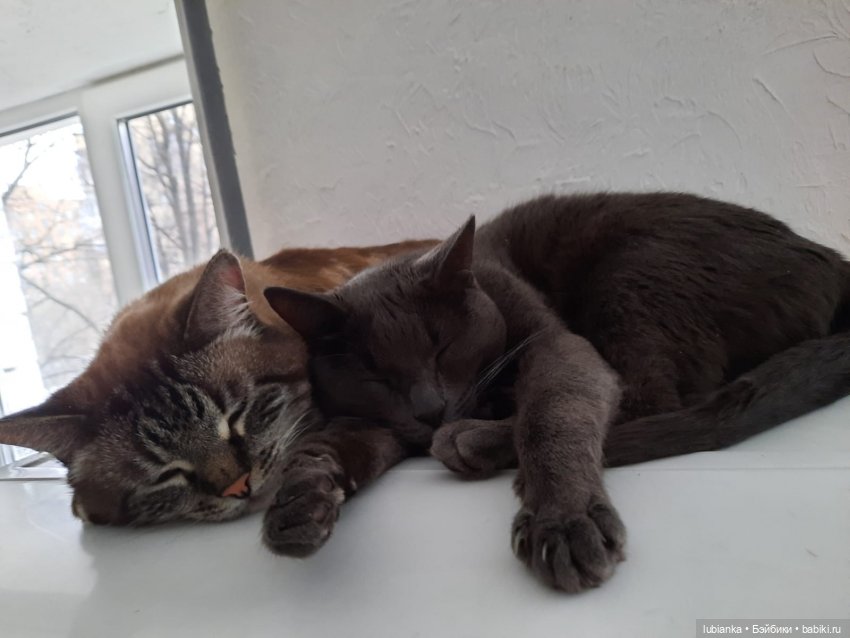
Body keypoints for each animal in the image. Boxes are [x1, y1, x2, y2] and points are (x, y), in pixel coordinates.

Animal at [264, 192, 850, 592]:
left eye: (443, 346)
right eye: (375, 375)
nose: (430, 408)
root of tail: (836, 263)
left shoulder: (556, 341)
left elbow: (553, 409)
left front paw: (563, 521)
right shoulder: (371, 420)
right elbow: (321, 448)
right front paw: (297, 508)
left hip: (634, 268)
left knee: (652, 399)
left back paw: (474, 441)